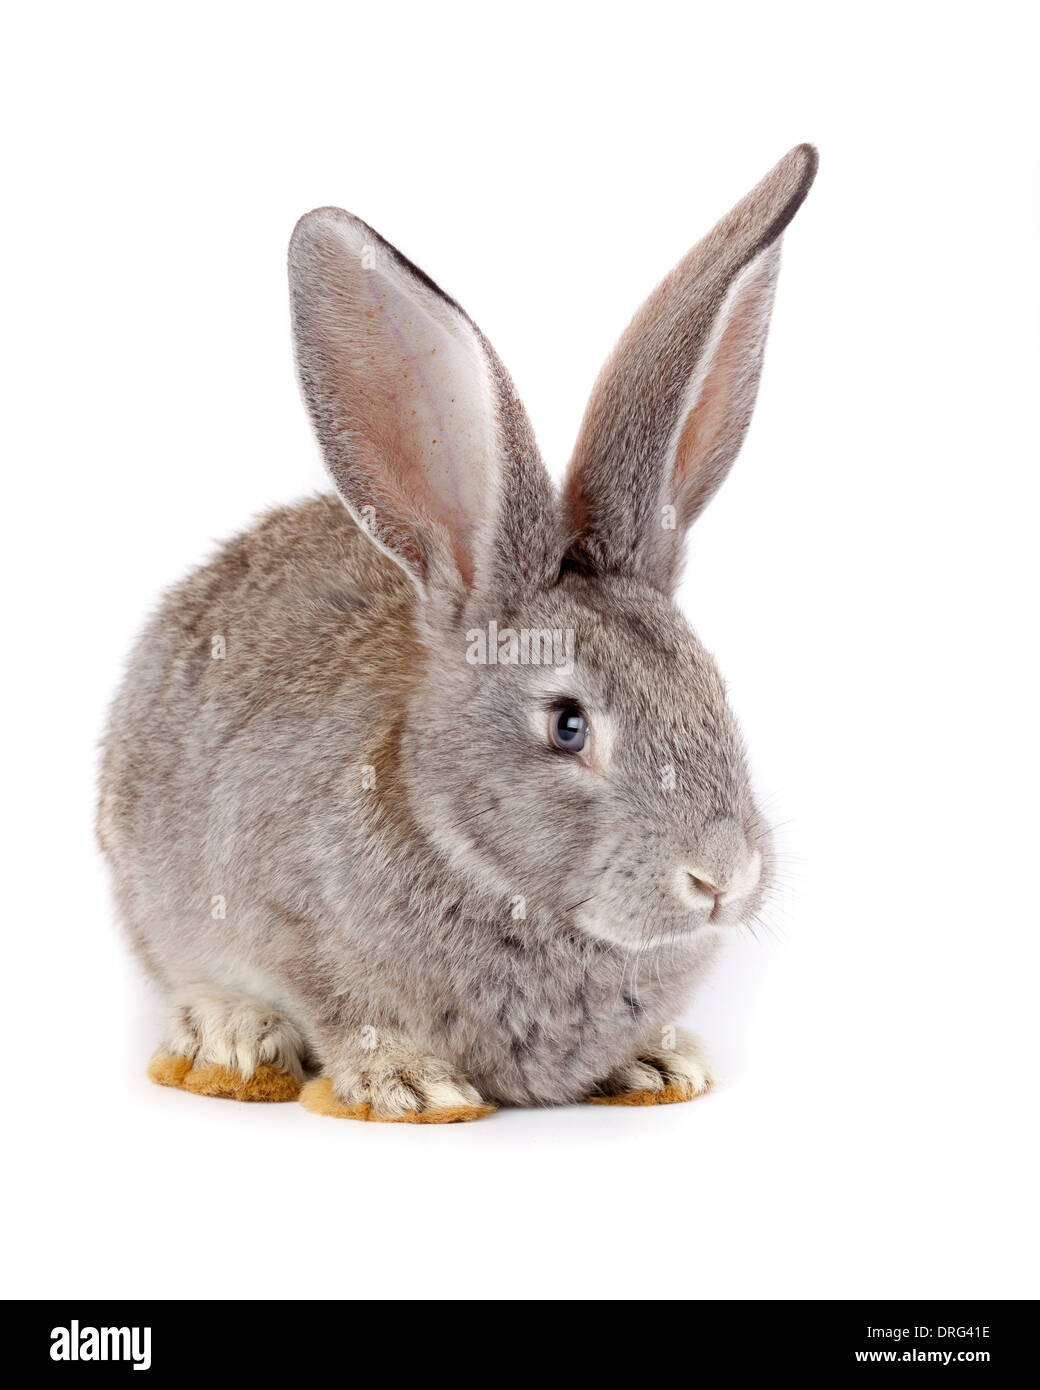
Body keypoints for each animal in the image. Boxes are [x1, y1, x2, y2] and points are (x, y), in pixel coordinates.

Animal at [95, 143, 811, 1117]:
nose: (721, 878)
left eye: (715, 694)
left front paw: (656, 1064)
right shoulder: (290, 927)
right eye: (568, 726)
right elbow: (344, 1009)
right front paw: (408, 1085)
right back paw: (230, 1042)